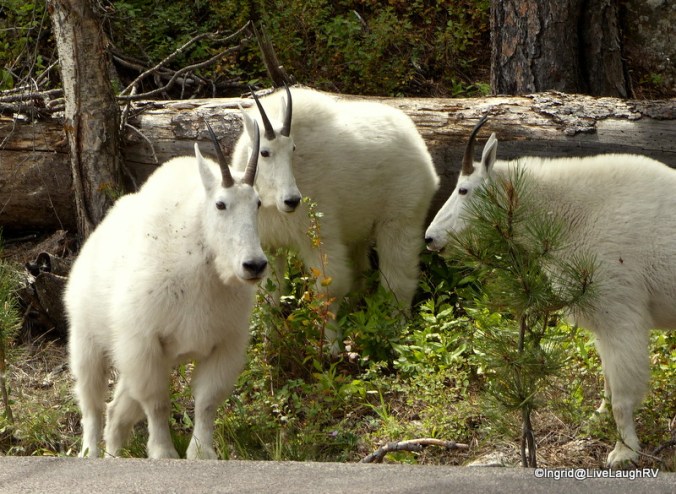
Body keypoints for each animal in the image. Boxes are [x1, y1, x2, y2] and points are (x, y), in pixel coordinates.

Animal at [64, 122, 267, 459]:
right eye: (220, 204)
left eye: (258, 204)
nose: (254, 265)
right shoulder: (143, 342)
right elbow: (157, 401)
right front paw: (163, 453)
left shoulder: (224, 344)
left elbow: (206, 402)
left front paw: (201, 453)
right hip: (86, 339)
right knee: (91, 404)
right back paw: (91, 452)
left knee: (116, 411)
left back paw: (114, 454)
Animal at [231, 86, 439, 347]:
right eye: (264, 152)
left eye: (293, 149)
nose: (292, 200)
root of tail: (418, 142)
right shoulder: (269, 245)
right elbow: (270, 296)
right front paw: (269, 345)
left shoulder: (320, 235)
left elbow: (328, 291)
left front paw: (331, 347)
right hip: (359, 232)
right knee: (361, 272)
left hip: (401, 219)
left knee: (398, 280)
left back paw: (397, 332)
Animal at [424, 118, 676, 467]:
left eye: (464, 189)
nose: (430, 238)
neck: (571, 214)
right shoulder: (601, 315)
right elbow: (607, 384)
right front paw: (594, 421)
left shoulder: (621, 315)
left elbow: (622, 397)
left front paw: (623, 451)